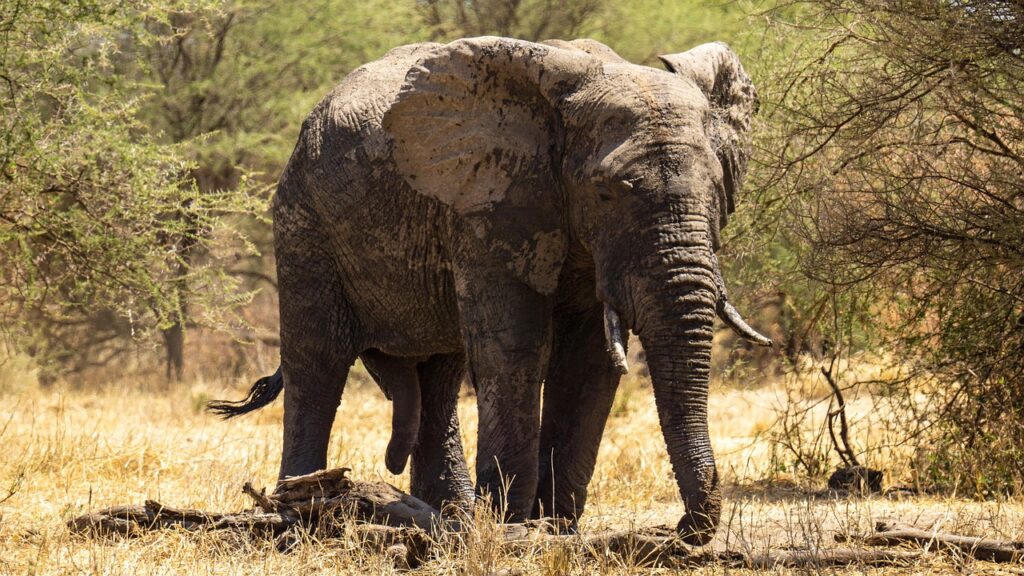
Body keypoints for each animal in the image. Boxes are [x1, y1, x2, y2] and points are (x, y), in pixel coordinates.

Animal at [209, 36, 770, 545]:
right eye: (606, 193)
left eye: (718, 189)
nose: (682, 529)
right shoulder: (490, 202)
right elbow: (515, 347)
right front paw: (513, 528)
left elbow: (588, 362)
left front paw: (555, 529)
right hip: (303, 221)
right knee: (318, 362)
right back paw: (297, 511)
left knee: (438, 377)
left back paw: (446, 515)